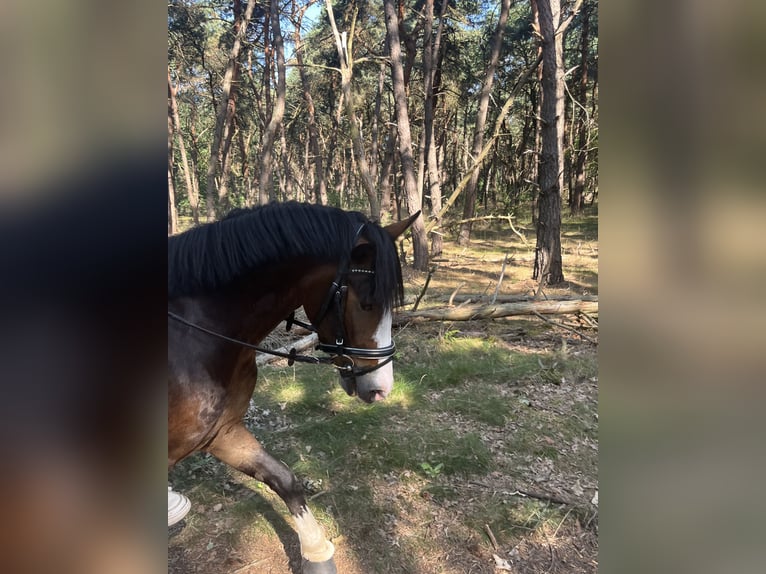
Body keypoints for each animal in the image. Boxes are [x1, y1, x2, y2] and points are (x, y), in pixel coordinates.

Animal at [168, 202, 419, 574]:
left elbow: (284, 480)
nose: (381, 388)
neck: (199, 332)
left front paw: (317, 553)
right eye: (367, 304)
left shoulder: (222, 431)